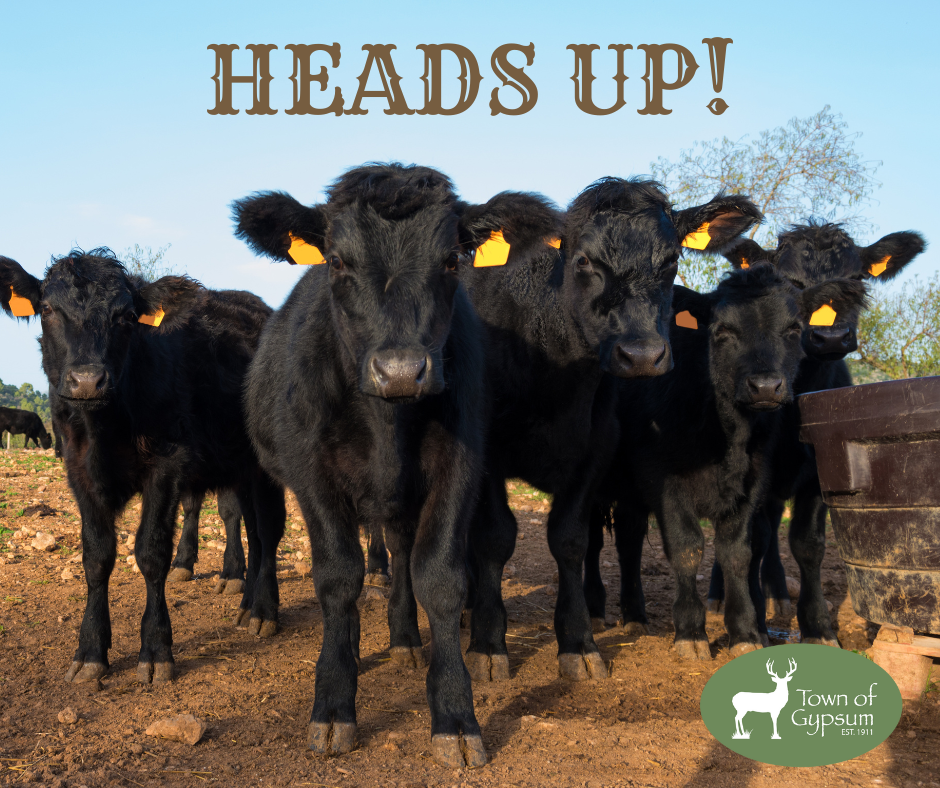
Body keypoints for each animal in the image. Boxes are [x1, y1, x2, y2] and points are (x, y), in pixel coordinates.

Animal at [0, 248, 286, 684]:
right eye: (47, 309)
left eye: (126, 316)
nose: (87, 380)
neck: (104, 427)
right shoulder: (79, 473)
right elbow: (96, 556)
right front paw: (90, 650)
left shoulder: (168, 465)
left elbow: (151, 553)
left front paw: (155, 649)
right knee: (252, 527)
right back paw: (247, 603)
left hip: (265, 458)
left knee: (267, 528)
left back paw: (264, 611)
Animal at [231, 163, 561, 768]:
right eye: (337, 261)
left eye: (452, 260)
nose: (402, 369)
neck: (387, 422)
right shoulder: (312, 474)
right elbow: (338, 578)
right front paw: (333, 705)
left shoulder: (460, 467)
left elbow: (439, 577)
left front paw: (455, 715)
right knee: (270, 537)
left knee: (404, 554)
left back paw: (406, 638)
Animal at [454, 179, 762, 683]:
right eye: (583, 261)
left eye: (671, 261)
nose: (642, 355)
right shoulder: (487, 454)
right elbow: (495, 538)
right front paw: (487, 643)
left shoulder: (594, 451)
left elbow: (570, 540)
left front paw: (579, 642)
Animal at [588, 264, 868, 658]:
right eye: (722, 331)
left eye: (793, 330)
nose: (765, 386)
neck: (726, 435)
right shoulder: (664, 481)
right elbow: (687, 548)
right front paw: (691, 633)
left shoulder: (755, 483)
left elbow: (740, 553)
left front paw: (747, 633)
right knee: (592, 544)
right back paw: (595, 612)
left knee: (629, 543)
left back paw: (635, 617)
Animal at [703, 223, 925, 643]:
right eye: (791, 283)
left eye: (857, 279)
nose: (830, 337)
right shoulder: (758, 473)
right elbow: (752, 541)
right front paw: (755, 621)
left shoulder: (822, 470)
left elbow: (808, 545)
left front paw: (817, 625)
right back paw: (718, 595)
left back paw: (778, 595)